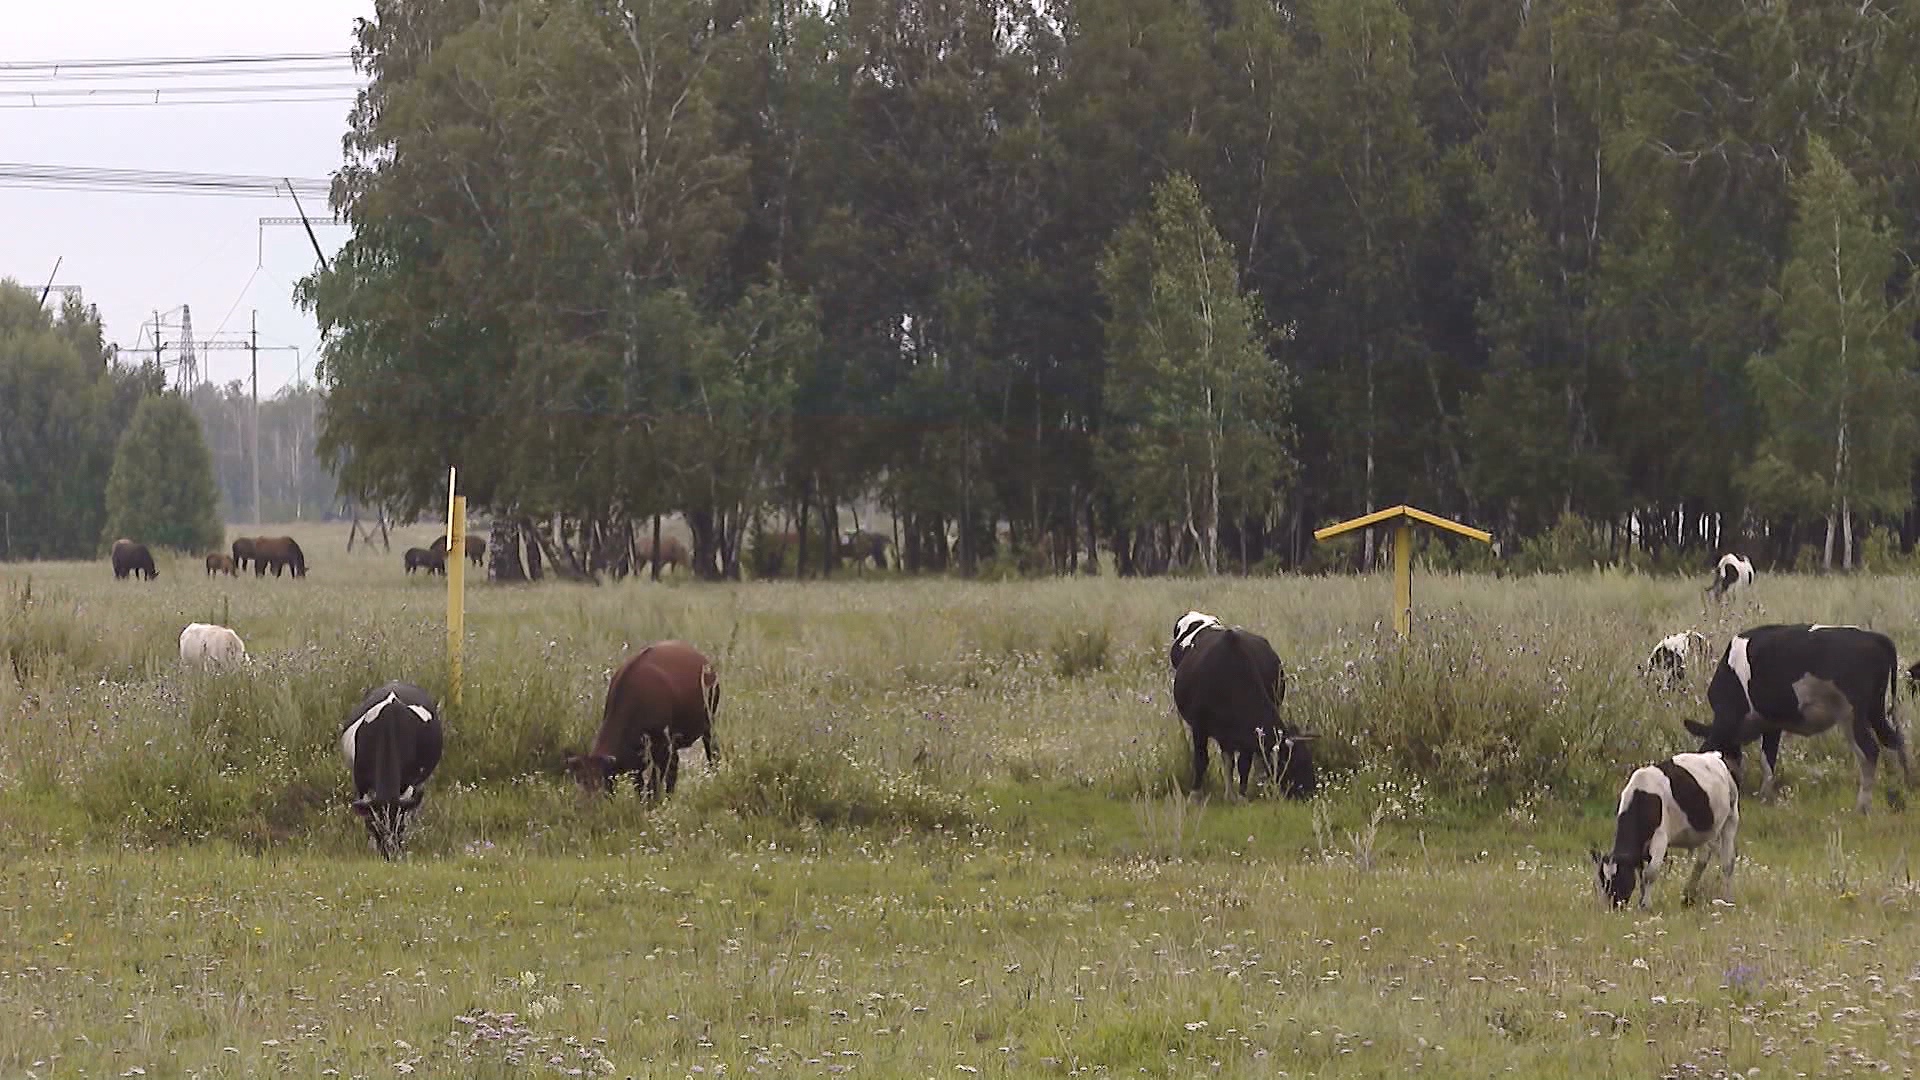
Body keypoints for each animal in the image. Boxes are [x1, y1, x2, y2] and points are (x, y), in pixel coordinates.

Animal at [568, 638, 725, 799]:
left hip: (708, 726)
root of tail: (703, 661)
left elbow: (652, 788)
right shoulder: (636, 764)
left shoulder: (662, 752)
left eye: (601, 784)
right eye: (579, 783)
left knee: (712, 753)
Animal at [1159, 611, 1313, 795]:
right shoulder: (1199, 726)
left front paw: (1241, 795)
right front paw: (1195, 794)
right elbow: (1201, 760)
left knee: (1228, 758)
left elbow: (1243, 765)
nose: (1311, 791)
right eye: (1293, 764)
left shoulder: (1246, 733)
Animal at [1589, 749, 1743, 907]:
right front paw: (1641, 901)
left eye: (1619, 877)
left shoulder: (1660, 837)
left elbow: (1650, 873)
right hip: (1708, 831)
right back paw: (1688, 897)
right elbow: (1641, 873)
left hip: (1731, 817)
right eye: (1602, 880)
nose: (1612, 906)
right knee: (1703, 858)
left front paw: (1645, 905)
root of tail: (1715, 755)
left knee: (1727, 862)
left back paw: (1728, 899)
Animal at [1689, 622, 1912, 807]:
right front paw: (1766, 797)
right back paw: (1901, 791)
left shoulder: (1739, 718)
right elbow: (1768, 761)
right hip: (1876, 711)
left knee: (1870, 751)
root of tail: (1874, 637)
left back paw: (1863, 807)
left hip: (1851, 715)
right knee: (1894, 742)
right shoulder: (1772, 723)